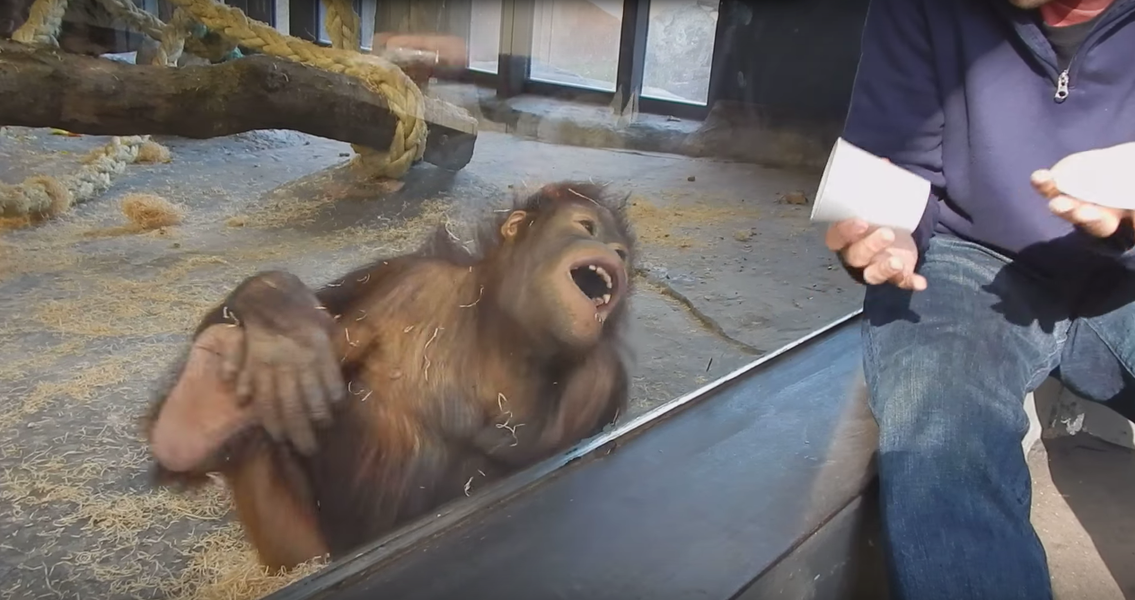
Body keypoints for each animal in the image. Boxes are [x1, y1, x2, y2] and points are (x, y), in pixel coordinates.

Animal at [145, 181, 636, 571]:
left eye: (621, 253)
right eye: (587, 227)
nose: (614, 257)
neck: (504, 327)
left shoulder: (601, 376)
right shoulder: (399, 272)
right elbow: (330, 312)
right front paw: (278, 317)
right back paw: (202, 404)